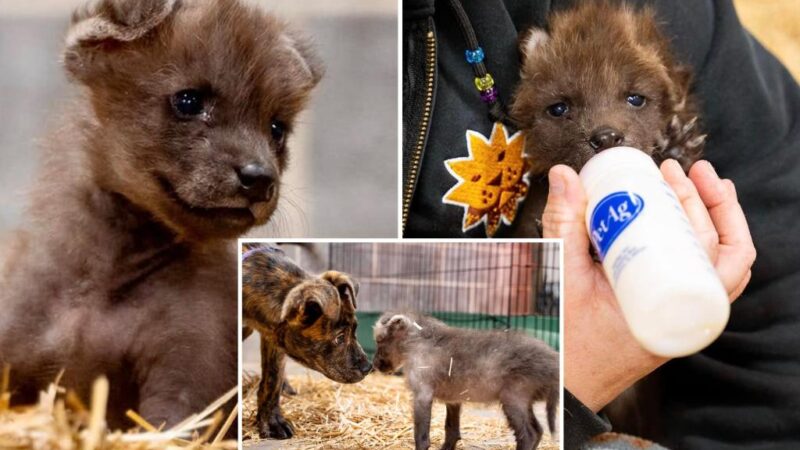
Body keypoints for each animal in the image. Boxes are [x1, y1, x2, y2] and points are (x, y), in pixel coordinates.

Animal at [241, 244, 372, 438]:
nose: (368, 367)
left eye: (355, 329)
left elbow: (272, 380)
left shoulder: (273, 337)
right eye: (339, 338)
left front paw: (272, 422)